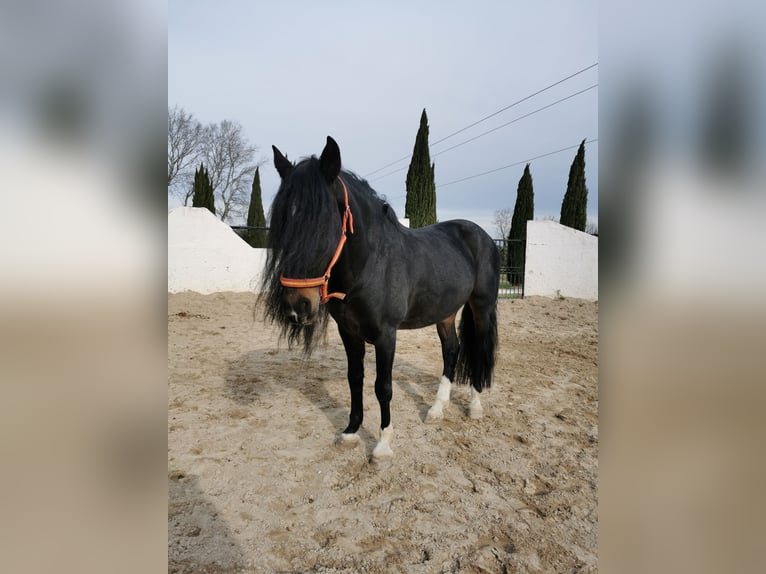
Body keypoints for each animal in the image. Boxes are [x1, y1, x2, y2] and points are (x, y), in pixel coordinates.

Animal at [262, 137, 504, 466]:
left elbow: (383, 387)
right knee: (452, 351)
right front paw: (350, 432)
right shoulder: (349, 332)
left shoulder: (386, 335)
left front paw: (383, 446)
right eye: (283, 219)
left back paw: (475, 407)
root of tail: (483, 236)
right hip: (445, 312)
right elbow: (354, 378)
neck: (371, 264)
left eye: (324, 222)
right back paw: (436, 409)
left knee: (478, 351)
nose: (297, 307)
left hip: (481, 308)